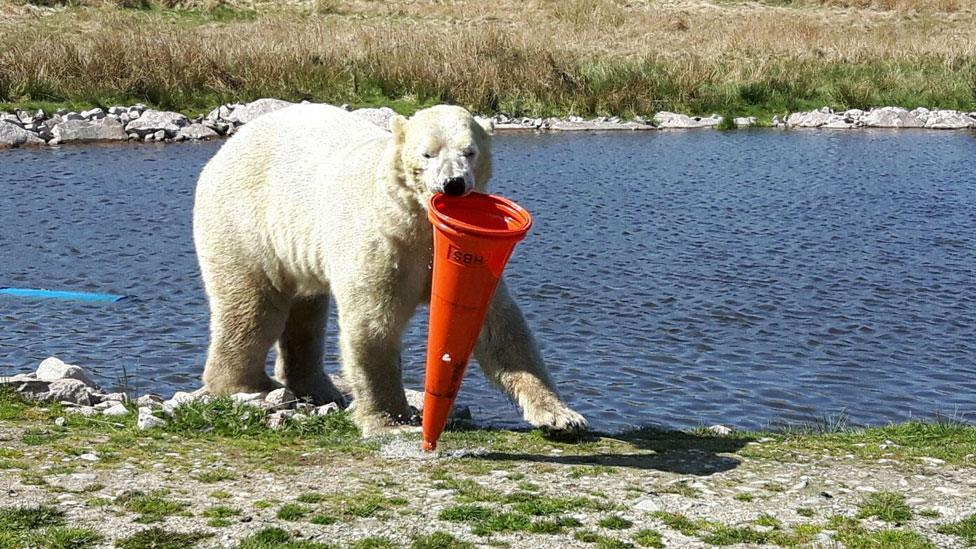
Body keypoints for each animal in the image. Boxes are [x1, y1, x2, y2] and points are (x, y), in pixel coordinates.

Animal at [194, 104, 584, 436]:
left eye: (469, 151)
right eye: (427, 153)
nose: (453, 184)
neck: (417, 221)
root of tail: (227, 147)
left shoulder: (461, 256)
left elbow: (497, 326)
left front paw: (561, 416)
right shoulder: (384, 246)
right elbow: (373, 323)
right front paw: (389, 418)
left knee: (306, 313)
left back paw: (318, 387)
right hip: (247, 224)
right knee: (254, 307)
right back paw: (250, 384)